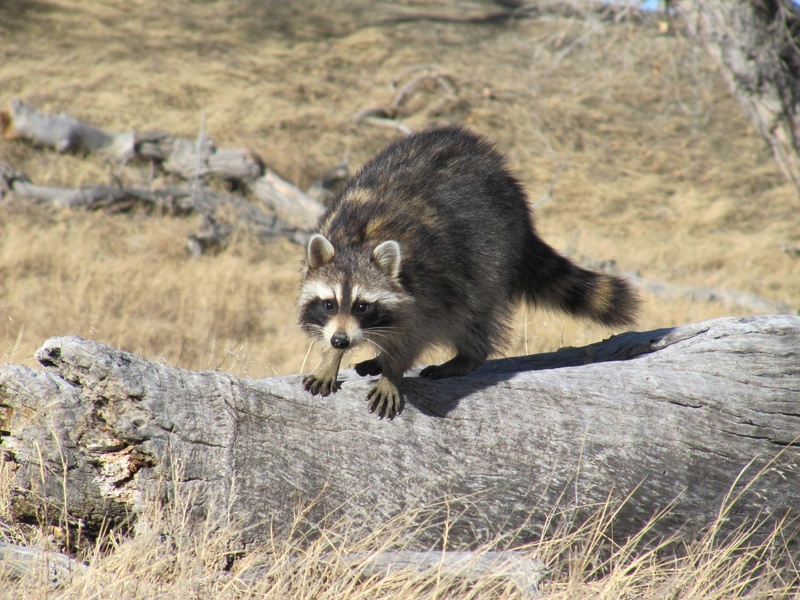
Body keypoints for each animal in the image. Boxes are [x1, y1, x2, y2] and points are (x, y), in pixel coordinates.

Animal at [298, 127, 640, 419]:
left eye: (362, 306)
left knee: (473, 313)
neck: (357, 241)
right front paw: (330, 359)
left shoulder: (428, 286)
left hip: (491, 251)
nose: (341, 341)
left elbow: (414, 334)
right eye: (329, 304)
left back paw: (467, 356)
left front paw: (392, 373)